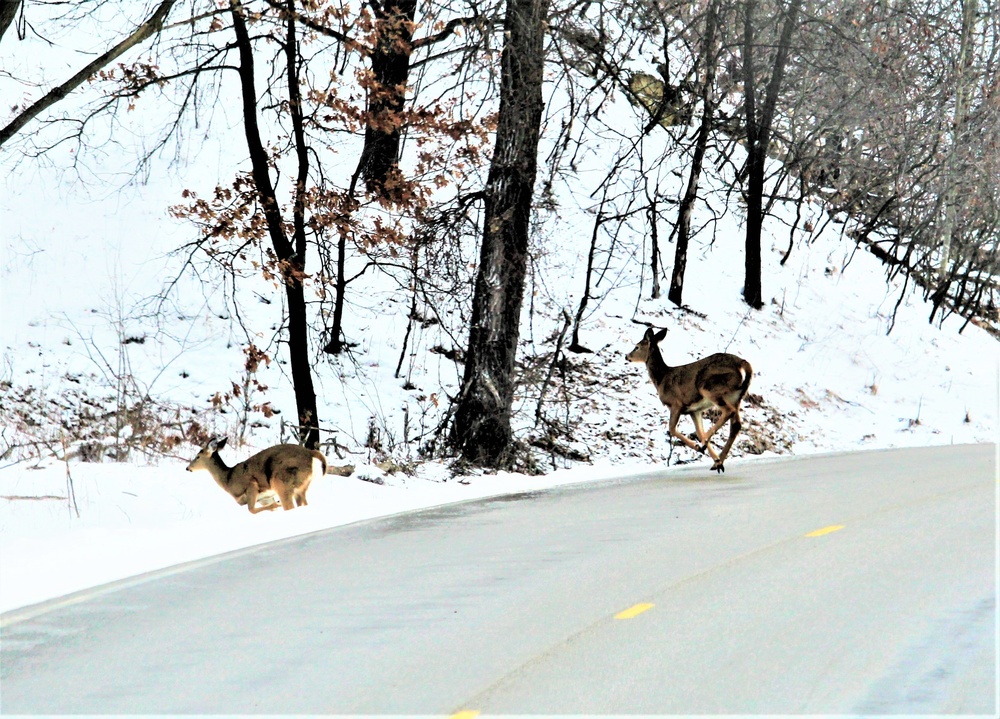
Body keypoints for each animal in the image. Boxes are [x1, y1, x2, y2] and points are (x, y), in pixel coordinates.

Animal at [187, 438, 328, 512]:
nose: (188, 468)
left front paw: (275, 505)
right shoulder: (264, 498)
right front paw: (274, 506)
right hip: (301, 486)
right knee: (304, 503)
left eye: (197, 456)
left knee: (290, 506)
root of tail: (311, 454)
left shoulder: (251, 486)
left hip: (281, 481)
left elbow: (251, 510)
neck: (228, 479)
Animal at [620, 326, 752, 472]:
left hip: (710, 387)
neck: (662, 379)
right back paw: (717, 462)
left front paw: (699, 447)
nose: (626, 356)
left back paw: (706, 444)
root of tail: (742, 363)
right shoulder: (694, 410)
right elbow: (698, 431)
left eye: (636, 347)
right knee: (736, 425)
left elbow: (672, 429)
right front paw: (713, 457)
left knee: (728, 411)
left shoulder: (676, 403)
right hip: (736, 396)